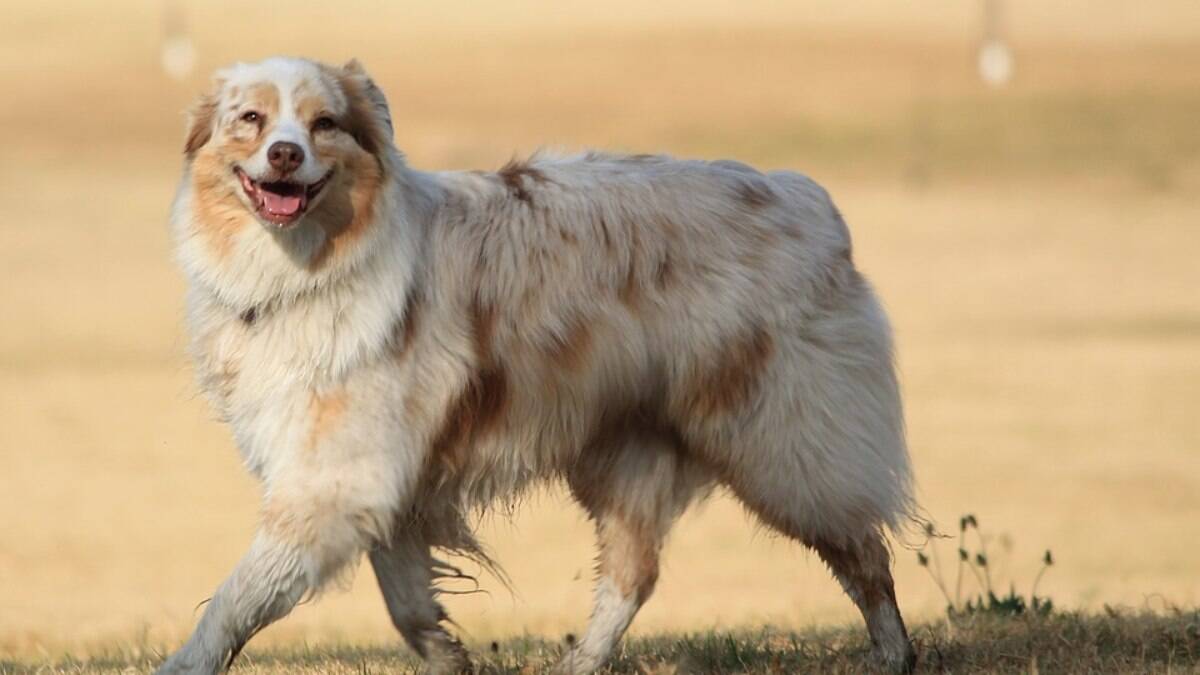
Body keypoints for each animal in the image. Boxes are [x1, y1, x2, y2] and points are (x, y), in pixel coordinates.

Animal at [154, 59, 912, 672]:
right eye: (250, 119)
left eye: (325, 123)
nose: (285, 154)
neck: (308, 269)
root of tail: (807, 200)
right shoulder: (379, 480)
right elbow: (407, 602)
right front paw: (449, 658)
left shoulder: (332, 481)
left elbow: (239, 595)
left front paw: (185, 663)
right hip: (626, 450)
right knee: (633, 574)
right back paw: (580, 662)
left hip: (783, 442)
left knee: (864, 551)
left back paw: (895, 651)